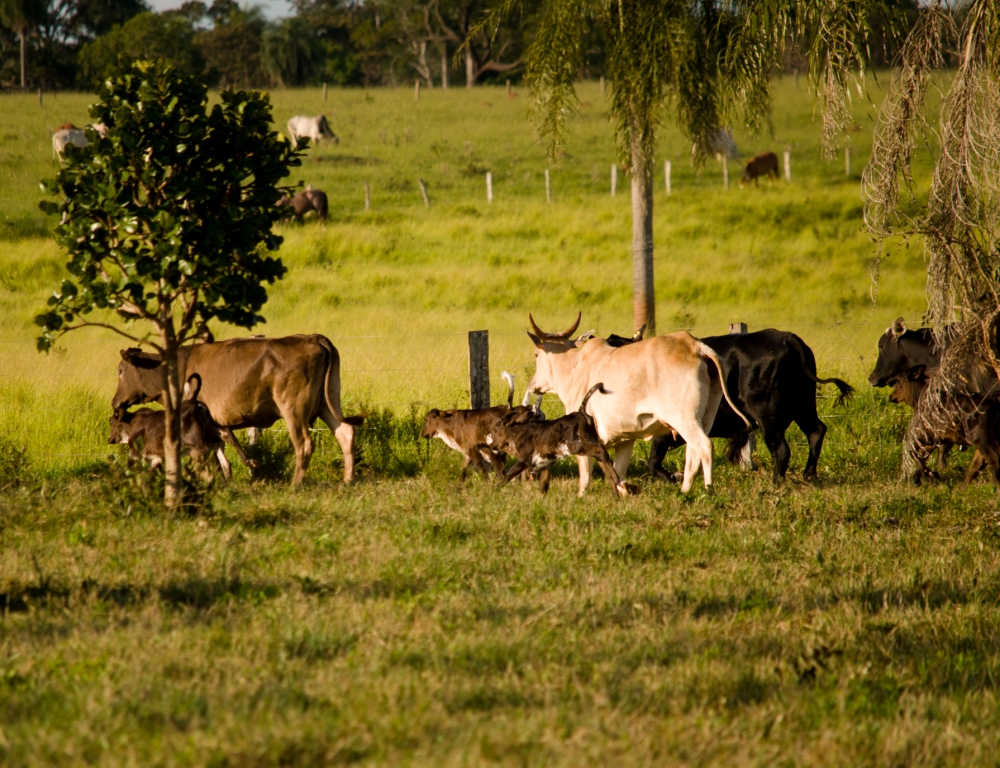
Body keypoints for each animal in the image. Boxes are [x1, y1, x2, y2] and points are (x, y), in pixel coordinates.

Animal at [113, 332, 364, 484]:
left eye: (120, 370)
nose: (115, 403)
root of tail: (313, 338)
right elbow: (223, 448)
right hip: (328, 402)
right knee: (345, 432)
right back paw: (347, 481)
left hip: (294, 410)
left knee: (304, 444)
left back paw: (295, 485)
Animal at [490, 384, 632, 498]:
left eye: (495, 431)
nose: (491, 445)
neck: (519, 431)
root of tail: (582, 413)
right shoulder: (546, 463)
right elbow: (543, 485)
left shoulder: (525, 459)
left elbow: (508, 475)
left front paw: (494, 489)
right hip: (588, 443)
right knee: (605, 461)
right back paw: (616, 493)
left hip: (577, 445)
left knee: (601, 450)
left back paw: (618, 480)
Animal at [520, 316, 748, 496]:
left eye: (536, 355)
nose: (533, 385)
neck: (576, 368)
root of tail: (693, 345)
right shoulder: (625, 440)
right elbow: (618, 475)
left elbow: (585, 479)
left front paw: (581, 497)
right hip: (704, 419)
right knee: (693, 454)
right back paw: (684, 491)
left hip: (684, 419)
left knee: (704, 447)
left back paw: (709, 491)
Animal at [644, 328, 856, 480]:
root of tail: (786, 337)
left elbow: (654, 459)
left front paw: (673, 477)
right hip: (803, 405)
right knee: (816, 431)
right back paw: (809, 476)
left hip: (767, 416)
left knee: (782, 450)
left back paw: (776, 482)